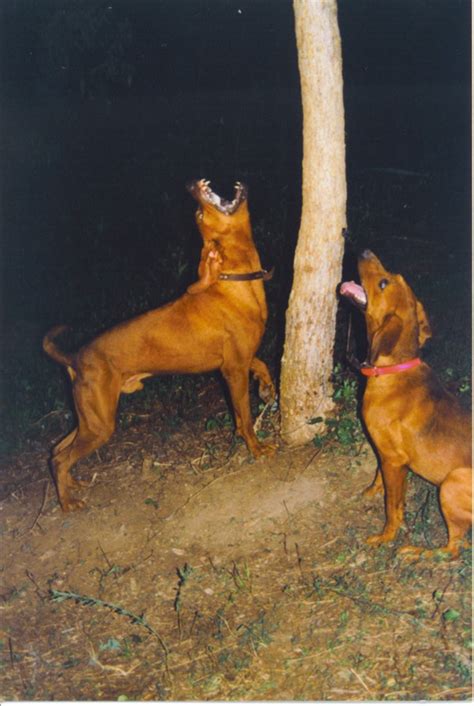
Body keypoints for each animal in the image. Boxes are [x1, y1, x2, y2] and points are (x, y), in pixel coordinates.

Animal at [43, 180, 278, 512]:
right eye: (199, 216)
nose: (191, 186)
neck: (234, 282)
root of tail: (75, 356)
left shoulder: (236, 363)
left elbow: (261, 365)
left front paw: (267, 387)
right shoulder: (233, 369)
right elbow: (245, 417)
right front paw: (256, 449)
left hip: (89, 418)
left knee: (56, 451)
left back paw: (72, 484)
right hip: (101, 424)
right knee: (61, 458)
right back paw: (67, 504)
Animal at [340, 250, 470, 560]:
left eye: (383, 283)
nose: (364, 251)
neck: (393, 368)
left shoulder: (394, 461)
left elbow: (393, 507)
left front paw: (385, 537)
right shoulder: (383, 452)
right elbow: (377, 475)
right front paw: (371, 491)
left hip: (452, 483)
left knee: (454, 548)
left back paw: (415, 551)